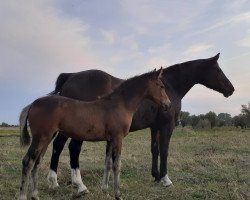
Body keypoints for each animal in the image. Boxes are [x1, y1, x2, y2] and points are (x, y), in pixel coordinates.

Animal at [17, 68, 170, 200]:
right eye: (161, 86)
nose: (168, 104)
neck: (119, 104)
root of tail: (32, 104)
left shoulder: (110, 139)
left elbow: (108, 163)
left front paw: (105, 189)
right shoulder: (118, 138)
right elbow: (117, 165)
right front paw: (118, 194)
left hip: (47, 137)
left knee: (37, 161)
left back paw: (35, 195)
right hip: (41, 137)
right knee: (28, 161)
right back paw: (24, 195)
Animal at [47, 54, 236, 191]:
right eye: (218, 70)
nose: (231, 89)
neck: (170, 86)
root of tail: (71, 76)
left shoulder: (155, 127)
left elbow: (155, 150)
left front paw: (156, 176)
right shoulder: (167, 126)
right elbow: (164, 151)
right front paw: (166, 179)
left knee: (58, 146)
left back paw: (55, 182)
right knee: (72, 148)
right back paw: (78, 185)